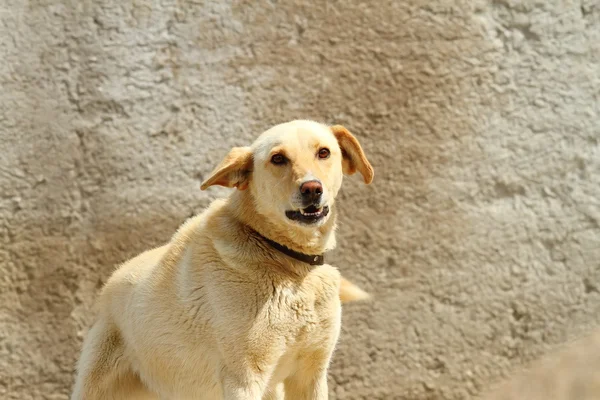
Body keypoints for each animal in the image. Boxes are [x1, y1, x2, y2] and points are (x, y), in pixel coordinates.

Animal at [70, 120, 372, 398]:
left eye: (324, 152)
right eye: (278, 159)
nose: (312, 188)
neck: (288, 264)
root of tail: (112, 282)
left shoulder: (310, 375)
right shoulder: (244, 379)